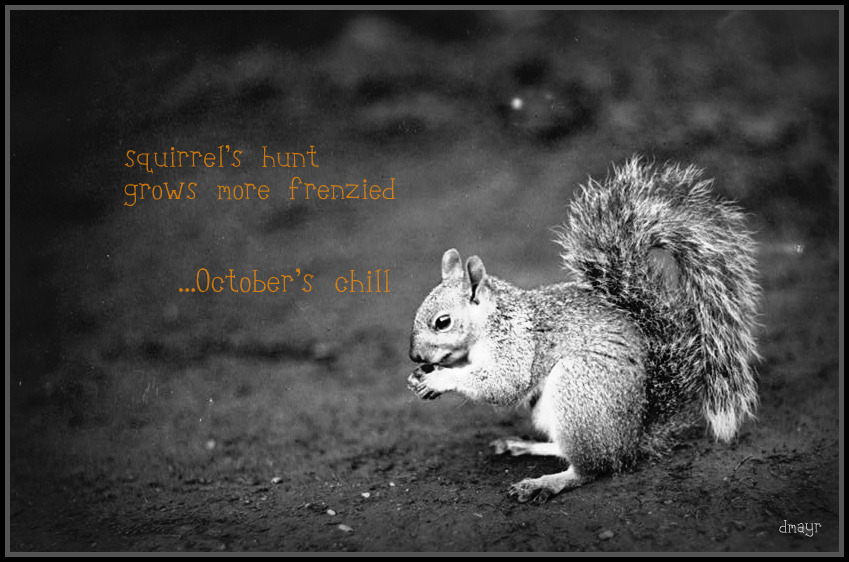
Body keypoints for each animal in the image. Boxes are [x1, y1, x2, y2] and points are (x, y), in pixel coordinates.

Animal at [406, 157, 761, 503]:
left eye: (442, 322)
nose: (414, 355)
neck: (491, 321)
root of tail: (633, 438)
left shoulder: (515, 343)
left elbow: (503, 384)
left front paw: (439, 378)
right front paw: (421, 377)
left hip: (577, 386)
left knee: (594, 467)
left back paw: (547, 482)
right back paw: (525, 445)